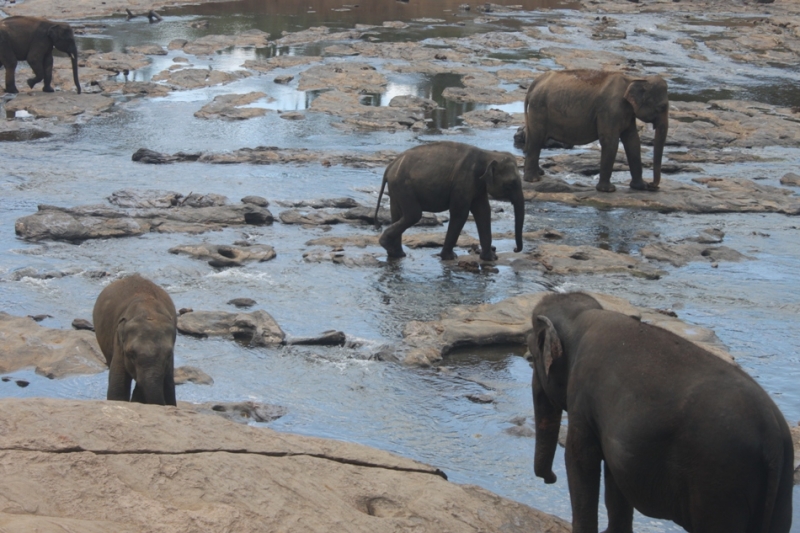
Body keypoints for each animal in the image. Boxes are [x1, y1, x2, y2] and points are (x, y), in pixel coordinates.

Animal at [374, 139, 524, 260]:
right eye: (511, 184)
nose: (515, 249)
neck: (489, 154)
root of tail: (390, 166)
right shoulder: (463, 182)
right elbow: (460, 213)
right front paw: (450, 257)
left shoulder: (478, 186)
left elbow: (483, 212)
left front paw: (490, 258)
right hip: (403, 186)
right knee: (413, 215)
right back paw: (387, 245)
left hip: (396, 188)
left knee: (397, 215)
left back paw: (396, 254)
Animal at [524, 69, 668, 192]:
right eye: (662, 107)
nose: (652, 185)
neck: (634, 78)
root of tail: (534, 83)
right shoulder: (609, 110)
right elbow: (610, 141)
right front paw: (608, 190)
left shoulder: (627, 113)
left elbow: (633, 141)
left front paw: (640, 186)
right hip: (539, 108)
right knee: (537, 139)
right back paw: (533, 179)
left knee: (535, 139)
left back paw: (539, 173)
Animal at [524, 290, 792, 532]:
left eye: (534, 356)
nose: (550, 478)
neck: (584, 317)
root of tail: (772, 437)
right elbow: (614, 474)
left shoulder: (582, 398)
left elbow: (581, 461)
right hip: (779, 488)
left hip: (720, 482)